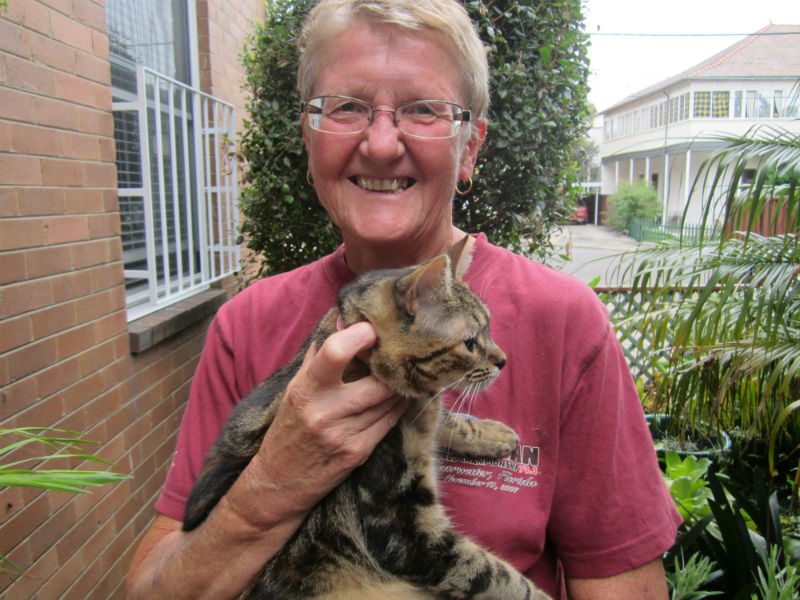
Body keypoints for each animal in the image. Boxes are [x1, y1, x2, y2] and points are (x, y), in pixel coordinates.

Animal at [183, 237, 552, 596]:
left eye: (490, 326)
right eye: (471, 342)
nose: (503, 361)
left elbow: (448, 418)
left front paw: (492, 434)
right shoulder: (402, 527)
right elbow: (493, 574)